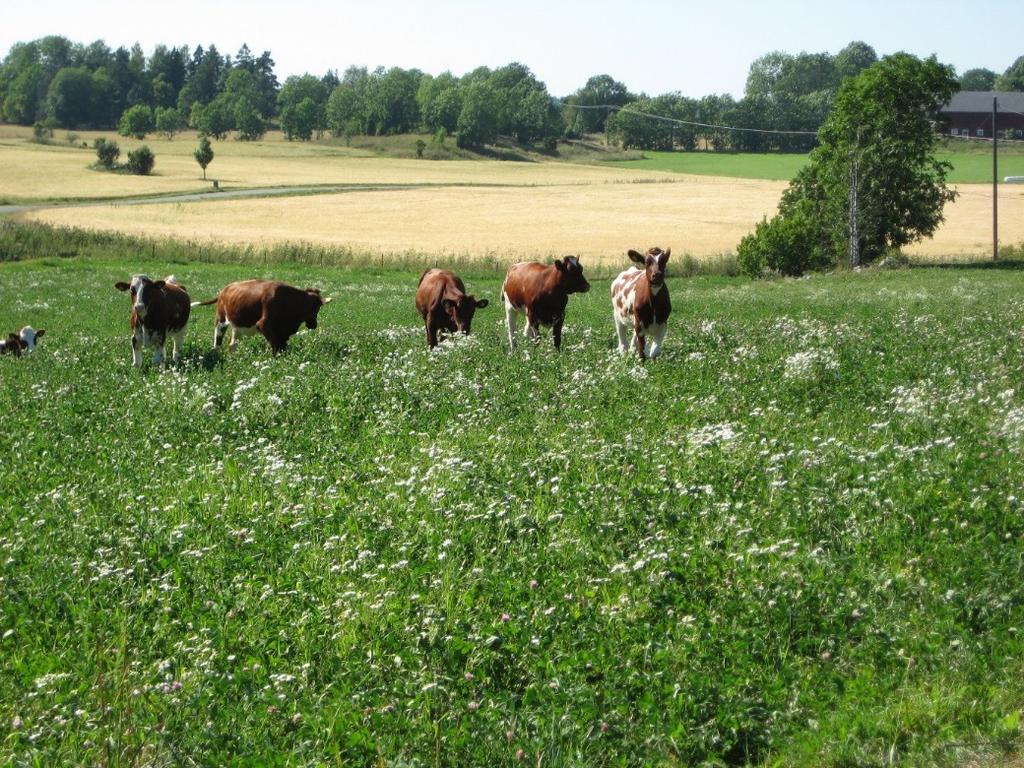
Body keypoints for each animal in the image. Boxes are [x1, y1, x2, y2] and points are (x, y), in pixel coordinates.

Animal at [191, 280, 331, 354]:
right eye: (317, 308)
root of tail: (225, 289)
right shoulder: (264, 324)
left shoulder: (282, 331)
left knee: (231, 344)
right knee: (217, 340)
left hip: (238, 326)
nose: (314, 325)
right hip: (221, 320)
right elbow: (275, 345)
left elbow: (282, 345)